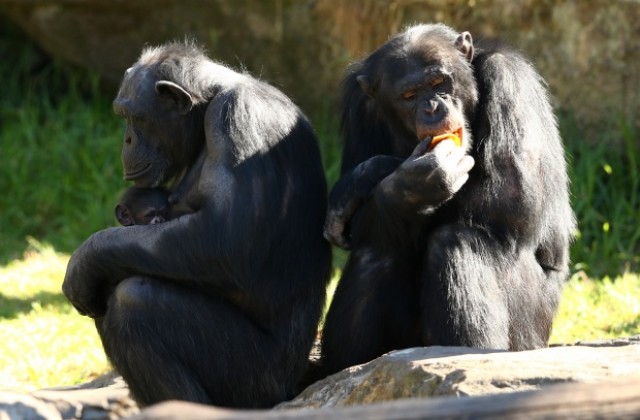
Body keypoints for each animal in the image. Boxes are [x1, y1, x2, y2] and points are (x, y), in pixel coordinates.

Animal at [62, 41, 332, 406]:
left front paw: (85, 259)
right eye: (123, 116)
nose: (127, 140)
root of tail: (292, 384)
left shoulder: (237, 117)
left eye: (136, 118)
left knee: (135, 299)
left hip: (253, 378)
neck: (207, 107)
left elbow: (224, 237)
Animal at [320, 23, 576, 378]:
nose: (432, 107)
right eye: (409, 96)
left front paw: (384, 176)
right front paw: (400, 182)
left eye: (440, 82)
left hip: (532, 329)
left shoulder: (508, 79)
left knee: (456, 241)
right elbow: (365, 220)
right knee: (379, 248)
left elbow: (511, 199)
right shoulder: (360, 105)